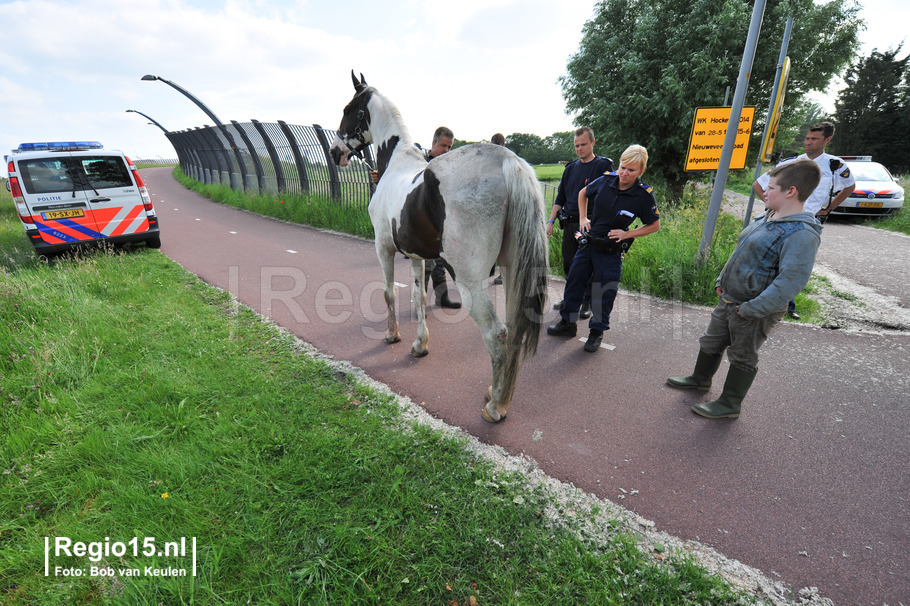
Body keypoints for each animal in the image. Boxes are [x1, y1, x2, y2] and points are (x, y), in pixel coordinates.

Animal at [330, 72, 548, 422]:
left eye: (349, 110)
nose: (335, 151)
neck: (396, 162)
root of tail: (508, 163)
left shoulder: (383, 249)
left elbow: (389, 293)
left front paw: (392, 335)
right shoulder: (417, 257)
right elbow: (419, 297)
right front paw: (420, 345)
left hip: (471, 281)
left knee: (496, 334)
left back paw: (495, 407)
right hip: (513, 269)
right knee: (514, 329)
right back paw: (497, 393)